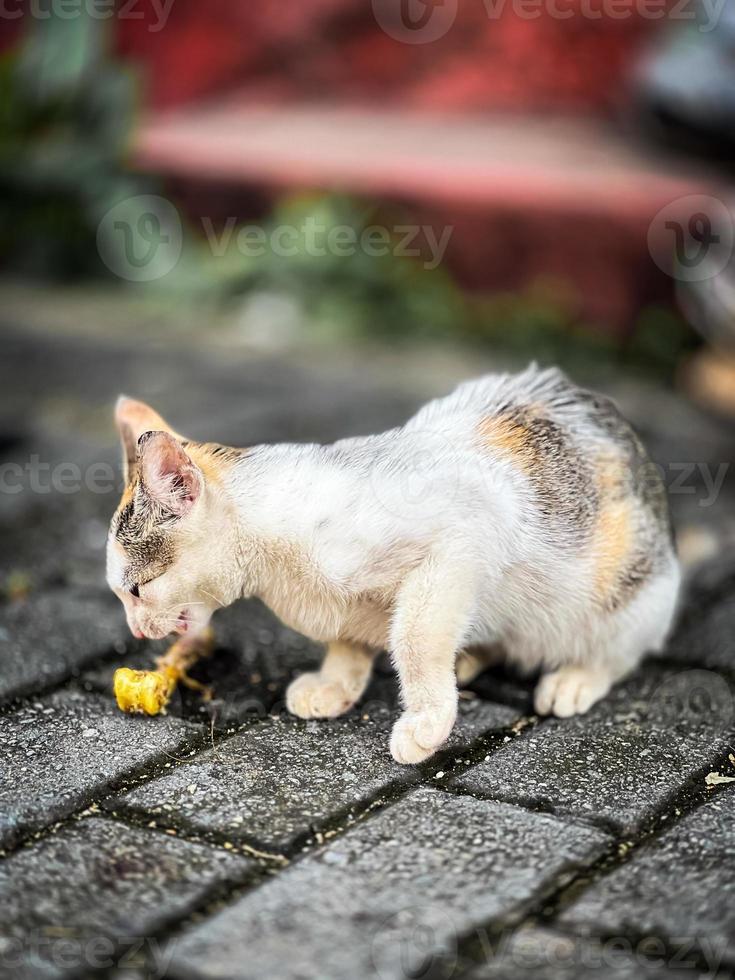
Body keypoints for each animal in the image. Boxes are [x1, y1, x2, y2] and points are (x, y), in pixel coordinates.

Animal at [106, 368, 680, 764]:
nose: (134, 631)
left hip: (627, 593)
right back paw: (469, 657)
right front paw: (335, 684)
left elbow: (415, 638)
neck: (278, 570)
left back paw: (574, 679)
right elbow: (347, 639)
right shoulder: (343, 607)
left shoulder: (464, 538)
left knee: (617, 652)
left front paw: (425, 721)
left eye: (136, 589)